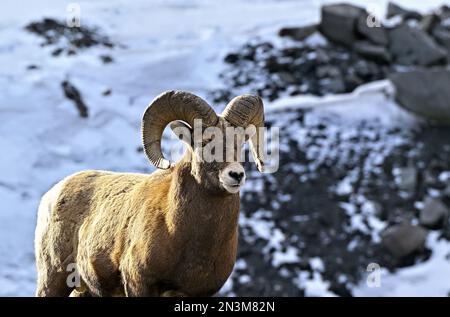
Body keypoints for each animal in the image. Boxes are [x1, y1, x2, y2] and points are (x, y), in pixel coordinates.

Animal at [37, 89, 266, 296]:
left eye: (241, 142)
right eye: (204, 142)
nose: (236, 175)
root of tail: (51, 195)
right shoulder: (139, 284)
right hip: (53, 279)